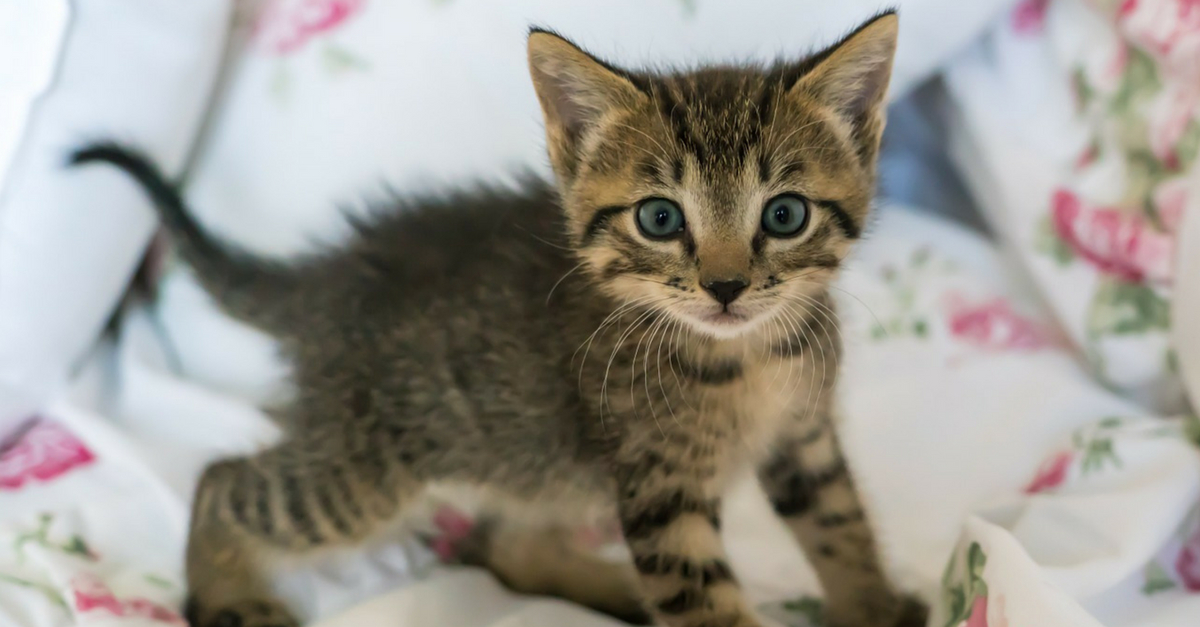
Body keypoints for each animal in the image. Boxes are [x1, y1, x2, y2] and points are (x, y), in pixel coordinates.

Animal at [72, 9, 926, 624]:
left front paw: (875, 608)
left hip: (530, 455)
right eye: (659, 218)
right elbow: (705, 601)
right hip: (368, 466)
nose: (724, 285)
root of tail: (334, 274)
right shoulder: (660, 488)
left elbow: (843, 527)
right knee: (225, 480)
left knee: (507, 542)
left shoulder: (805, 439)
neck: (748, 357)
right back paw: (227, 596)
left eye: (784, 214)